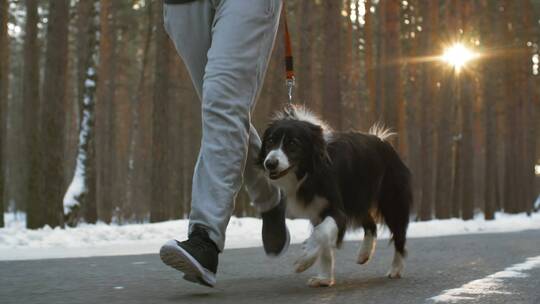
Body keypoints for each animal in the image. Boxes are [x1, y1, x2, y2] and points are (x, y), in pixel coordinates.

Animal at [260, 105, 412, 288]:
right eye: (270, 141)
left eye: (292, 143)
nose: (270, 163)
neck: (309, 171)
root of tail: (385, 142)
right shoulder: (317, 209)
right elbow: (325, 240)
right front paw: (324, 278)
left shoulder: (335, 205)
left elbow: (321, 232)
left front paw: (304, 259)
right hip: (357, 197)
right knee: (371, 223)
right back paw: (364, 254)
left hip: (392, 196)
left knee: (399, 234)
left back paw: (396, 269)